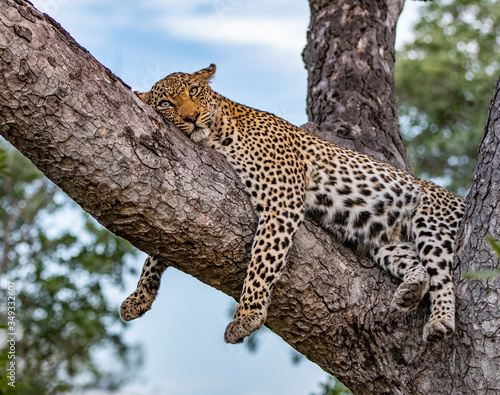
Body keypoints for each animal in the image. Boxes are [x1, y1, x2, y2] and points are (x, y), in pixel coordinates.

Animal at [120, 64, 464, 344]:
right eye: (166, 104)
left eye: (194, 91)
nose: (191, 117)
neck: (219, 133)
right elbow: (159, 246)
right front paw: (138, 297)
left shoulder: (280, 202)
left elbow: (262, 260)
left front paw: (247, 316)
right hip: (386, 243)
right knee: (420, 267)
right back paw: (410, 291)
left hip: (432, 219)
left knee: (444, 277)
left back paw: (440, 322)